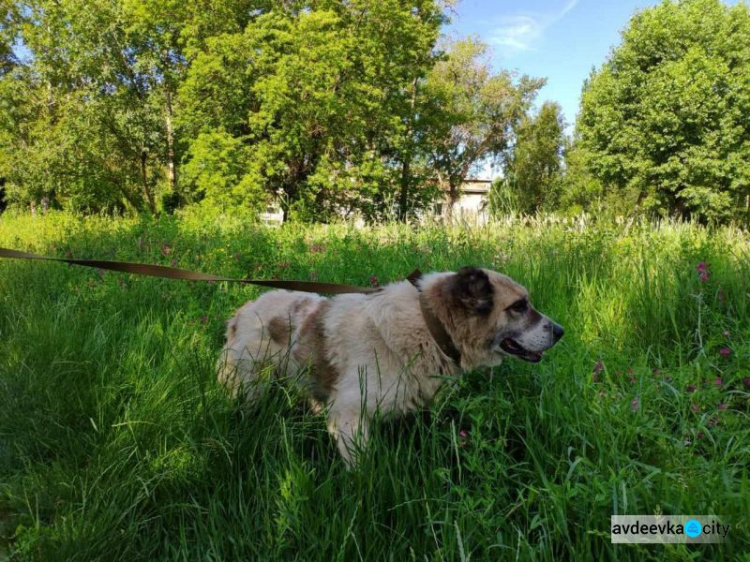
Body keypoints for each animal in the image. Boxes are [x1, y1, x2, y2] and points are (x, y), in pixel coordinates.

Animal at [217, 266, 564, 464]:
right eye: (519, 306)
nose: (561, 331)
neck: (429, 325)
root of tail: (242, 311)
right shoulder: (350, 415)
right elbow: (362, 469)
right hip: (248, 386)